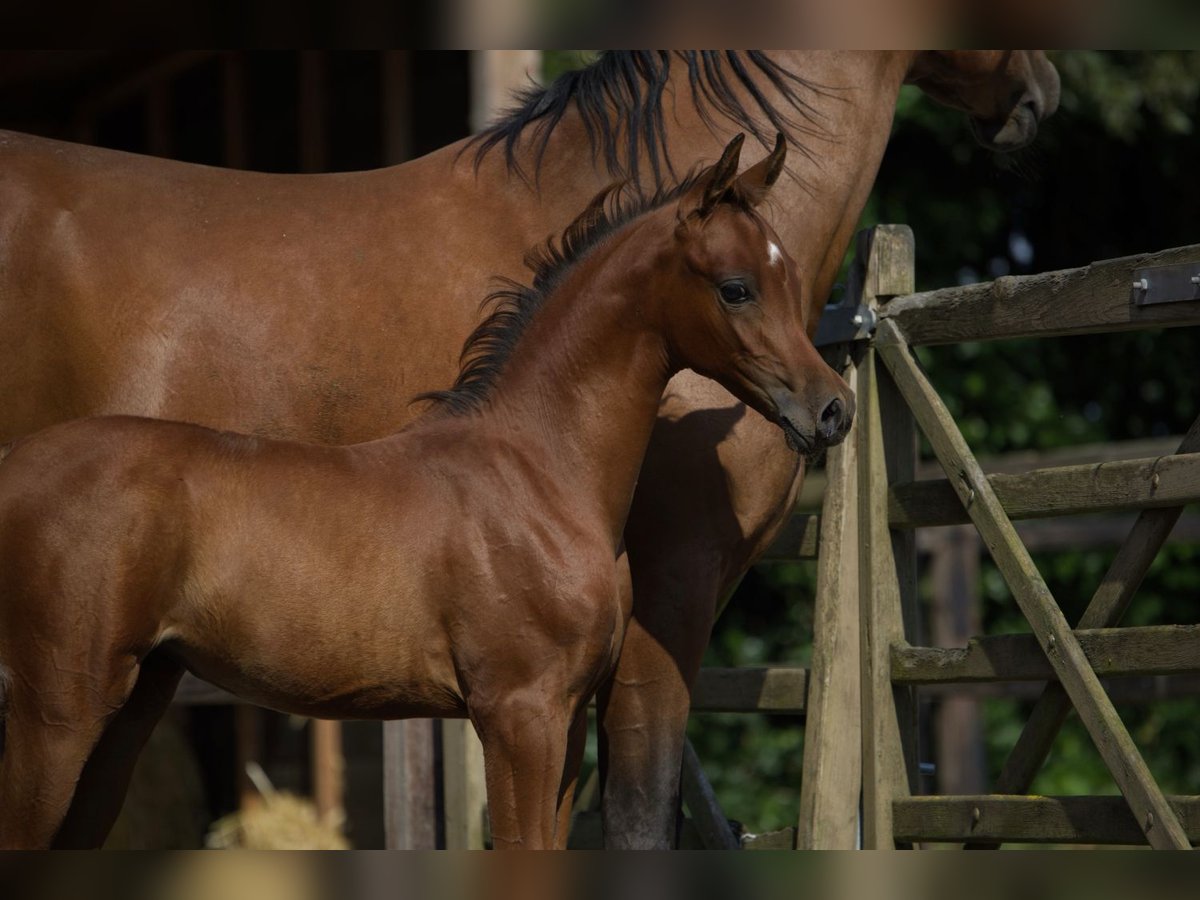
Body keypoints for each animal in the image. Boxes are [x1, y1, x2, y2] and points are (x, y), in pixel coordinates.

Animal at [0, 52, 1060, 849]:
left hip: (132, 703)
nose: (833, 411)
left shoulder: (563, 722)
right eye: (734, 287)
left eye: (788, 272)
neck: (536, 471)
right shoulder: (522, 712)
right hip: (59, 714)